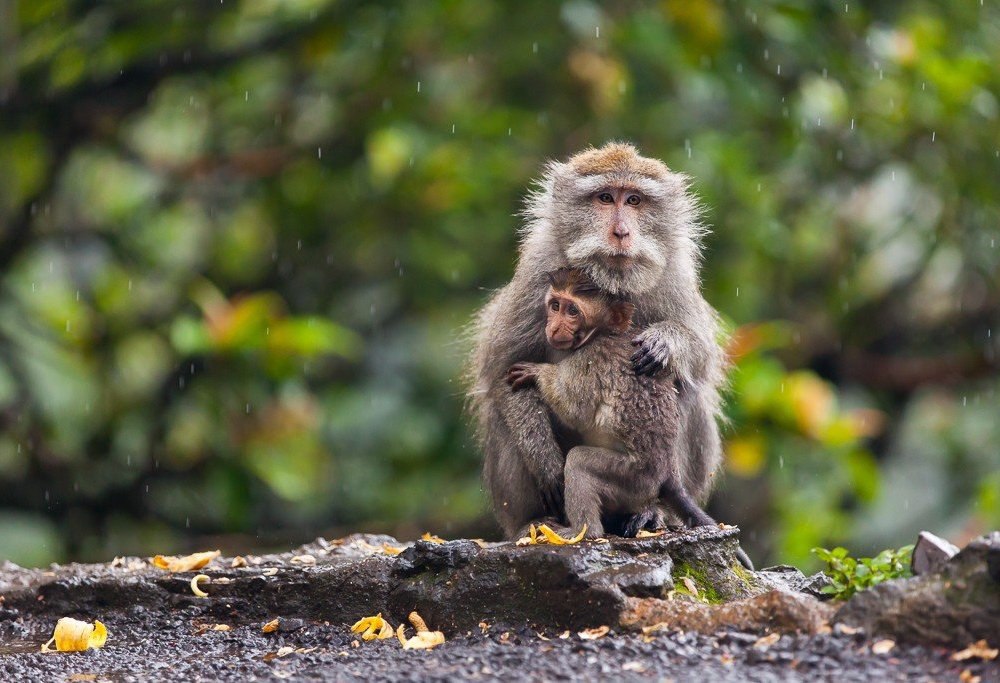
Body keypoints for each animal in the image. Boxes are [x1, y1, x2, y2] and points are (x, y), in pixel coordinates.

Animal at [468, 142, 728, 544]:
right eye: (605, 198)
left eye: (634, 200)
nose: (621, 231)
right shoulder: (536, 274)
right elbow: (501, 370)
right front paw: (544, 458)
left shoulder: (674, 275)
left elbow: (700, 359)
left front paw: (667, 342)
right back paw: (533, 522)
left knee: (688, 393)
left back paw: (654, 512)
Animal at [508, 270, 752, 568]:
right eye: (555, 305)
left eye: (572, 310)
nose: (553, 327)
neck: (602, 332)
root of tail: (669, 473)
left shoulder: (590, 360)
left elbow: (574, 408)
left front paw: (536, 373)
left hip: (633, 478)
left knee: (579, 462)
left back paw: (582, 531)